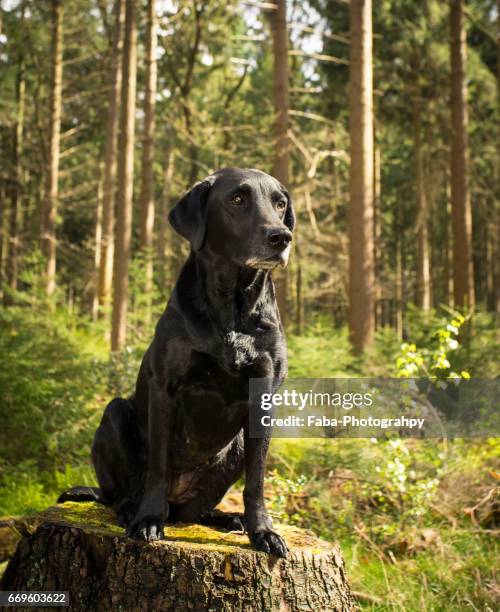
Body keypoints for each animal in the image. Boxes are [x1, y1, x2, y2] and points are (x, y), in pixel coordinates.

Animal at [58, 165, 292, 556]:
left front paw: (264, 531)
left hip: (234, 447)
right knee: (119, 494)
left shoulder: (264, 397)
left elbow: (256, 480)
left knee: (193, 511)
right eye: (237, 199)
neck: (232, 307)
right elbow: (158, 466)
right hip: (115, 414)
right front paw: (149, 521)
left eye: (280, 203)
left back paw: (229, 519)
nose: (281, 237)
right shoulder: (164, 388)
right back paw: (133, 511)